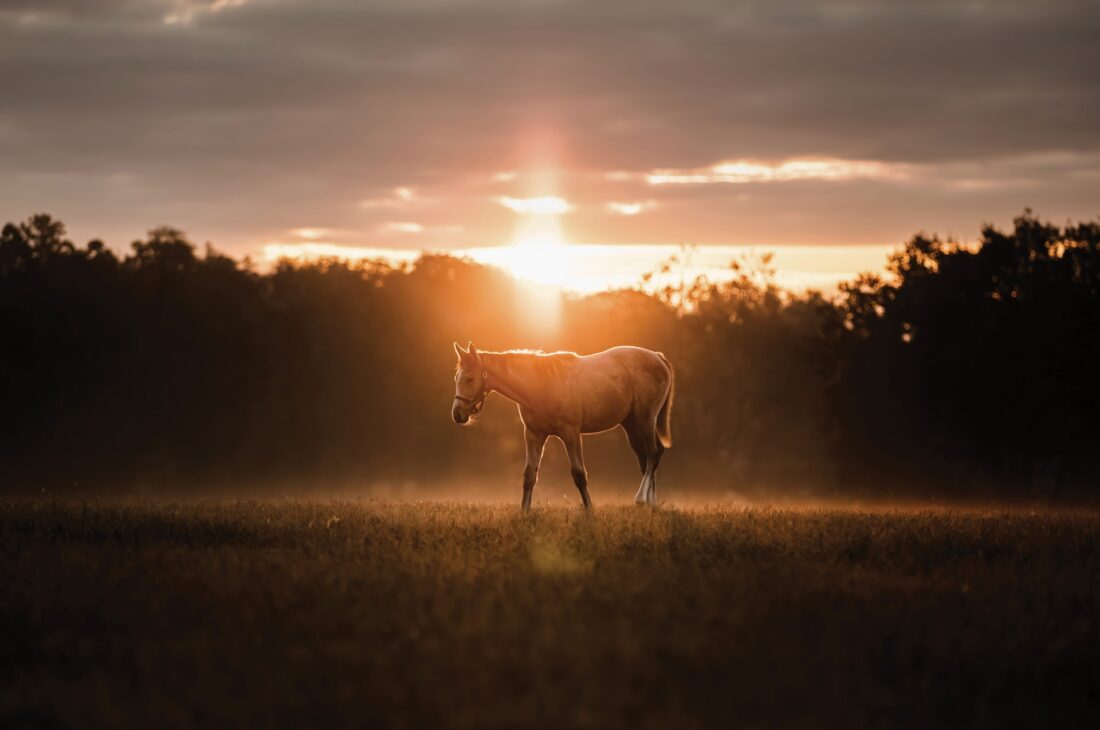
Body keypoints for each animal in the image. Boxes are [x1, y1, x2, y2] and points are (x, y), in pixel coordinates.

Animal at [451, 340, 673, 507]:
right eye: (456, 378)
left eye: (469, 379)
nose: (457, 414)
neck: (540, 385)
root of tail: (658, 357)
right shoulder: (533, 435)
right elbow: (529, 475)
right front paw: (524, 513)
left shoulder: (571, 434)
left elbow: (579, 474)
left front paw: (590, 511)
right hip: (631, 425)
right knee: (646, 460)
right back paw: (651, 505)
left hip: (645, 420)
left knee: (653, 454)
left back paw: (641, 500)